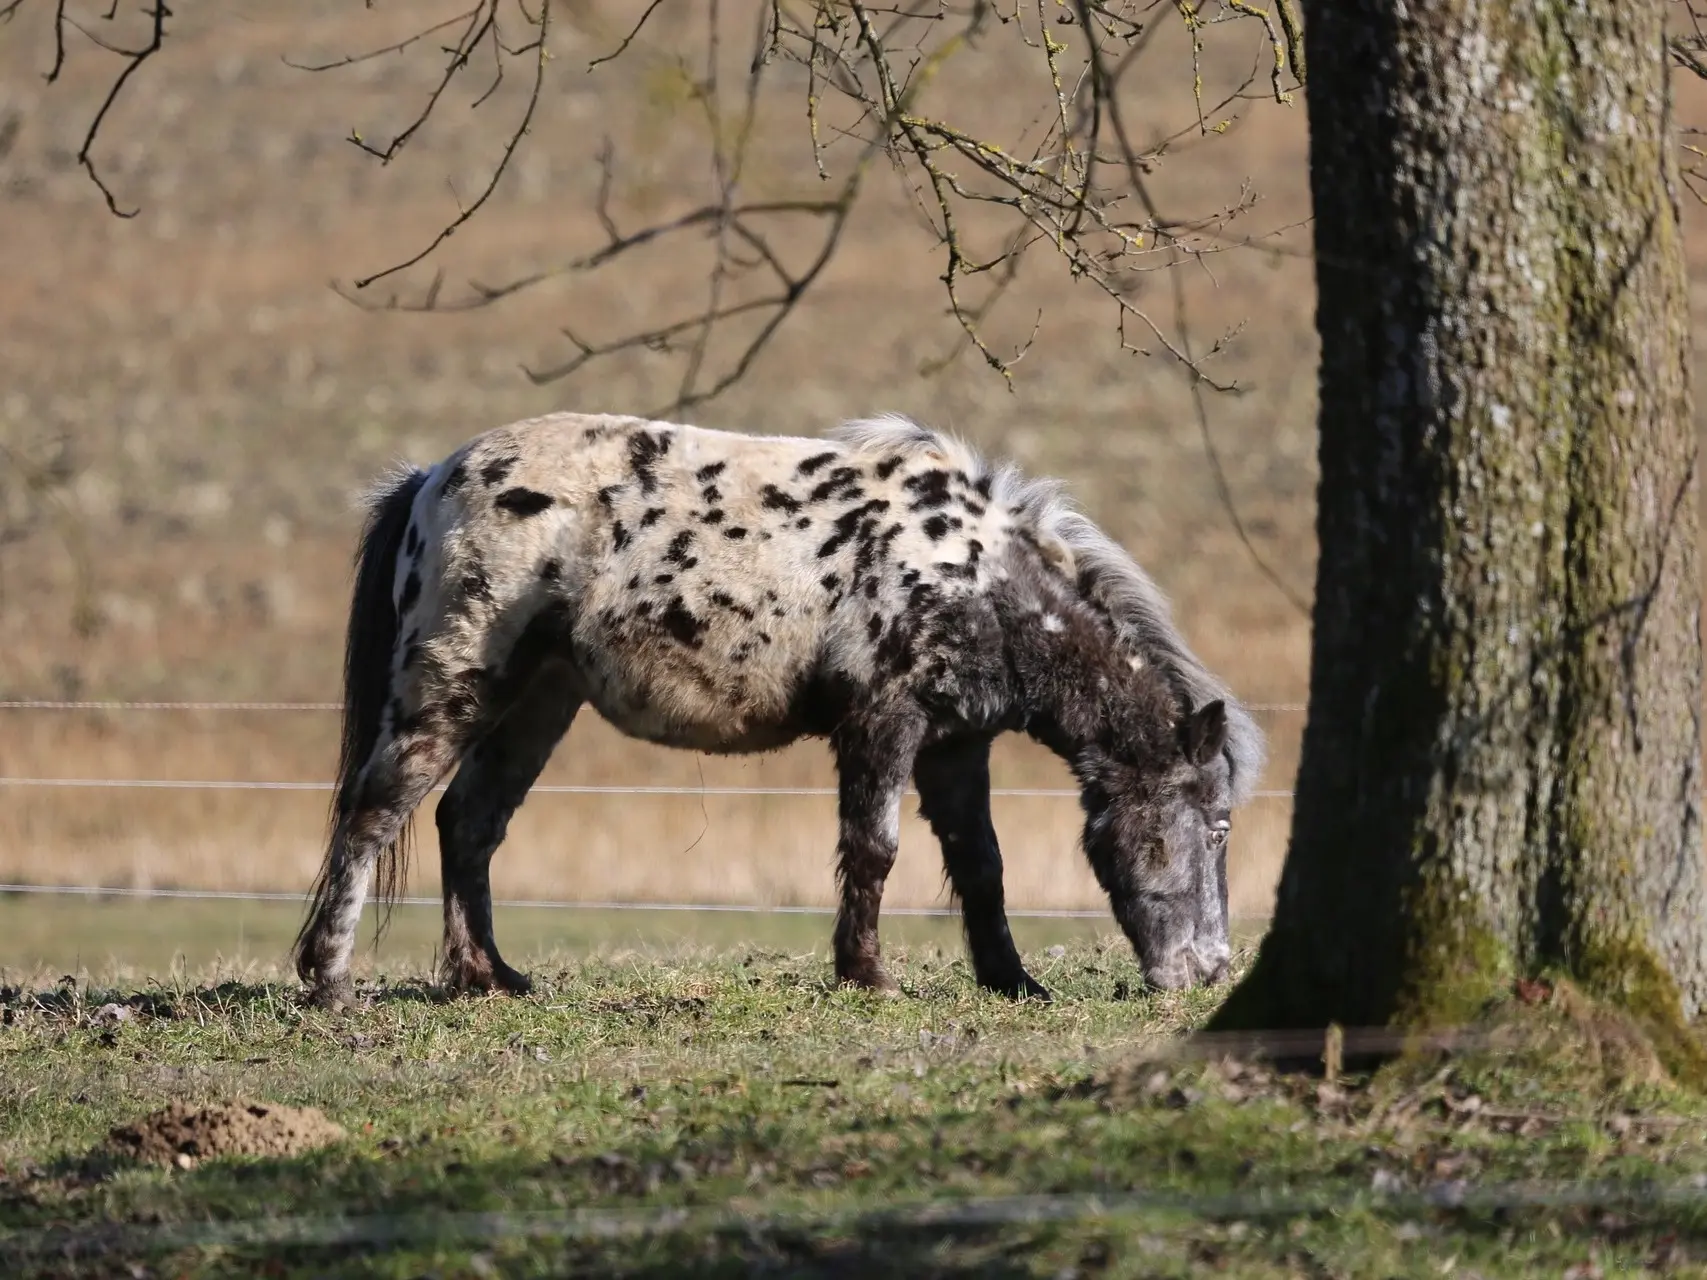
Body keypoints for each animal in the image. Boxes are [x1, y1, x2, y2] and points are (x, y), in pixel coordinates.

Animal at [293, 416, 1263, 1010]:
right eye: (1214, 827)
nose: (1210, 970)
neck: (976, 579)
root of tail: (431, 476)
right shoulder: (883, 723)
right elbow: (874, 850)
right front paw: (867, 975)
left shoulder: (956, 745)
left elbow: (980, 864)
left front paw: (1011, 979)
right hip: (452, 686)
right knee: (375, 812)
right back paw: (329, 980)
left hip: (539, 701)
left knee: (468, 823)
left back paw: (484, 976)